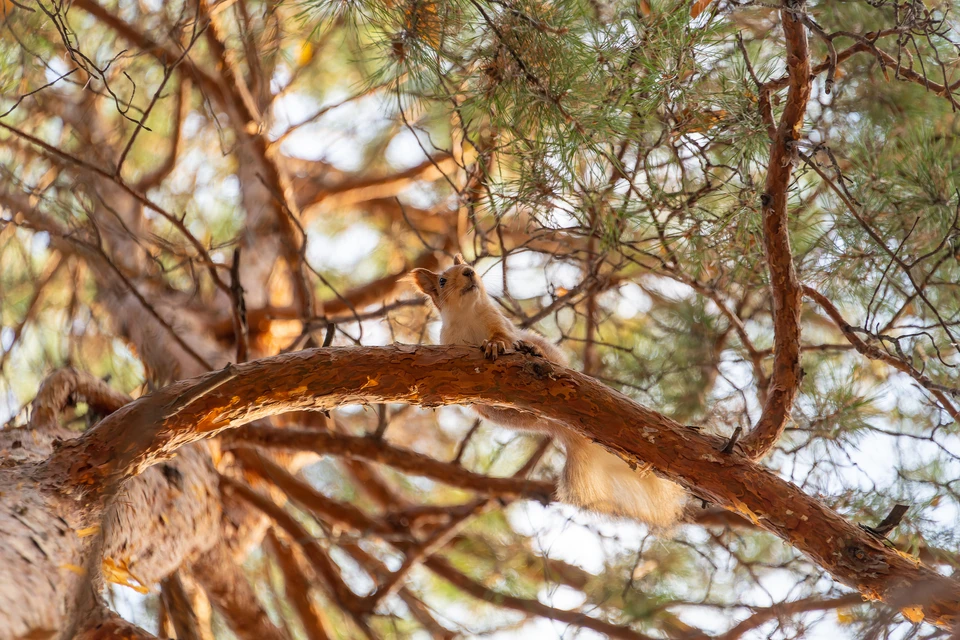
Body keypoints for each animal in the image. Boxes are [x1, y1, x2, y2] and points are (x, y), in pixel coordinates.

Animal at [408, 252, 688, 528]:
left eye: (468, 265)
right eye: (442, 280)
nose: (469, 272)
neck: (468, 314)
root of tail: (562, 426)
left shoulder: (501, 323)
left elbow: (503, 337)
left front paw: (495, 345)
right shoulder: (450, 342)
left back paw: (532, 350)